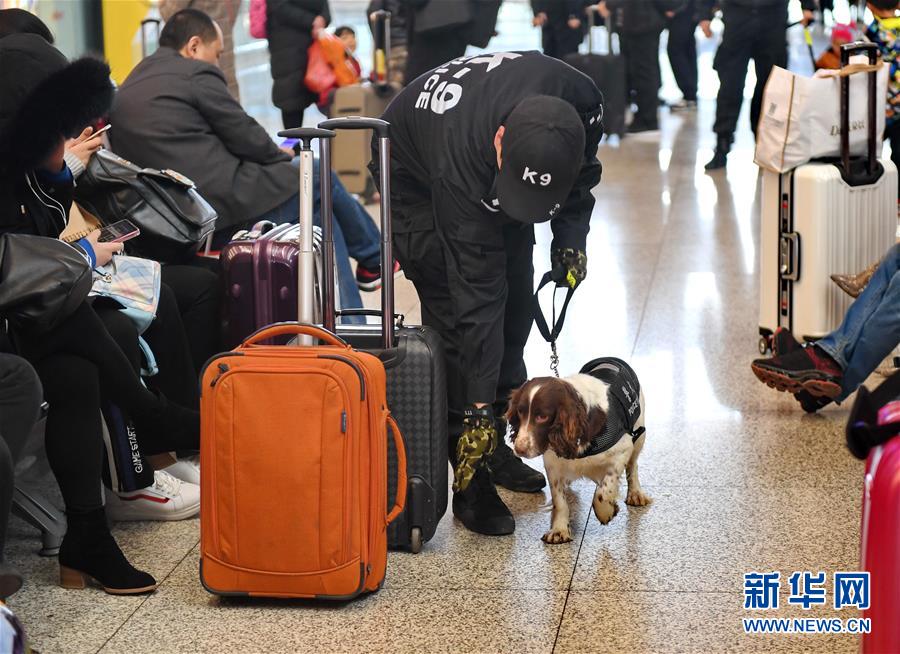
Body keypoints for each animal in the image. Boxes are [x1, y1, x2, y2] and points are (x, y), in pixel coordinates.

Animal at [506, 358, 648, 544]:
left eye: (542, 417)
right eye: (520, 412)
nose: (519, 449)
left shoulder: (624, 448)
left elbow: (603, 491)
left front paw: (605, 512)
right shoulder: (552, 463)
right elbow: (559, 500)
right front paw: (559, 529)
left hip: (639, 434)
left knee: (633, 466)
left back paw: (636, 494)